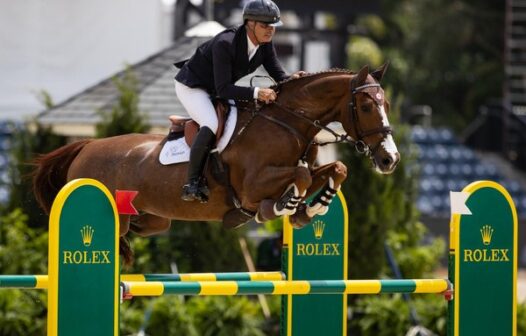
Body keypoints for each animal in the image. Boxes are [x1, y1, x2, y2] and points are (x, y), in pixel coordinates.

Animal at [33, 64, 402, 264]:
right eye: (366, 106)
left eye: (385, 104)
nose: (390, 159)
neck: (287, 122)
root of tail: (86, 146)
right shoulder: (252, 188)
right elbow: (296, 176)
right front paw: (284, 208)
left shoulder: (300, 171)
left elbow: (334, 170)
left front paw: (310, 209)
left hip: (154, 220)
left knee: (142, 228)